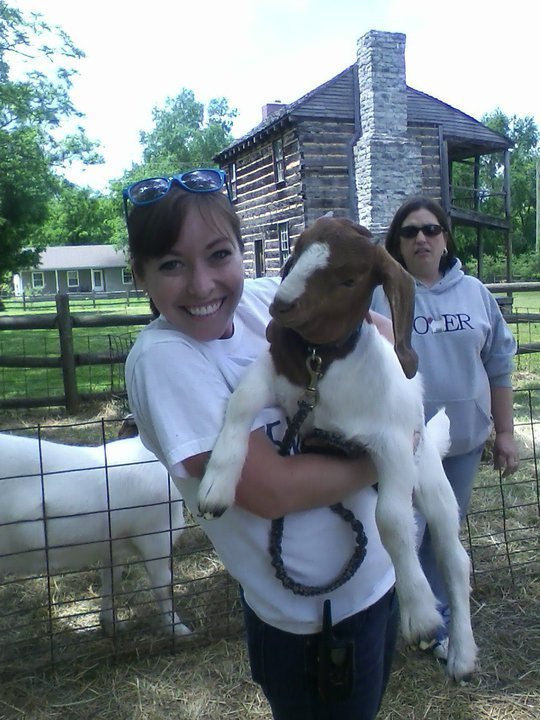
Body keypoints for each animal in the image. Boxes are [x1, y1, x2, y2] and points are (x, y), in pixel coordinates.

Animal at [0, 430, 191, 637]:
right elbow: (163, 586)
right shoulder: (156, 537)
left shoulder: (113, 545)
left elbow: (111, 580)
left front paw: (110, 624)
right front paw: (179, 629)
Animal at [197, 215, 477, 681]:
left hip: (432, 481)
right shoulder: (275, 376)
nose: (281, 305)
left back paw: (463, 653)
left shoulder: (394, 443)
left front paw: (420, 614)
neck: (322, 366)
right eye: (294, 254)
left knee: (453, 560)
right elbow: (239, 405)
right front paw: (215, 486)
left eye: (348, 279)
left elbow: (392, 521)